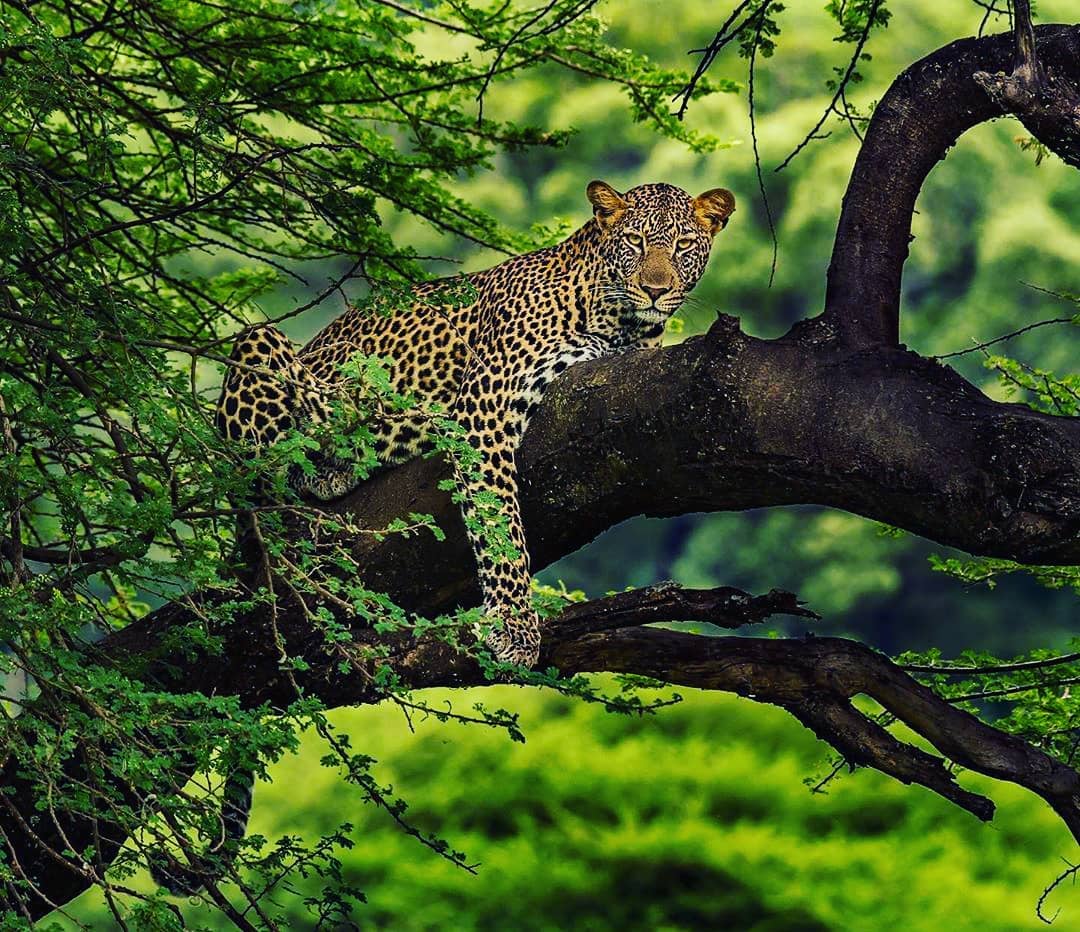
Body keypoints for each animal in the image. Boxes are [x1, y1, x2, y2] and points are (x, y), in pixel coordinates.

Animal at [151, 180, 734, 894]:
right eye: (633, 244)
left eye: (681, 248)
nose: (656, 290)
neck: (616, 320)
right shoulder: (489, 405)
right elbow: (500, 522)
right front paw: (514, 631)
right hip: (262, 356)